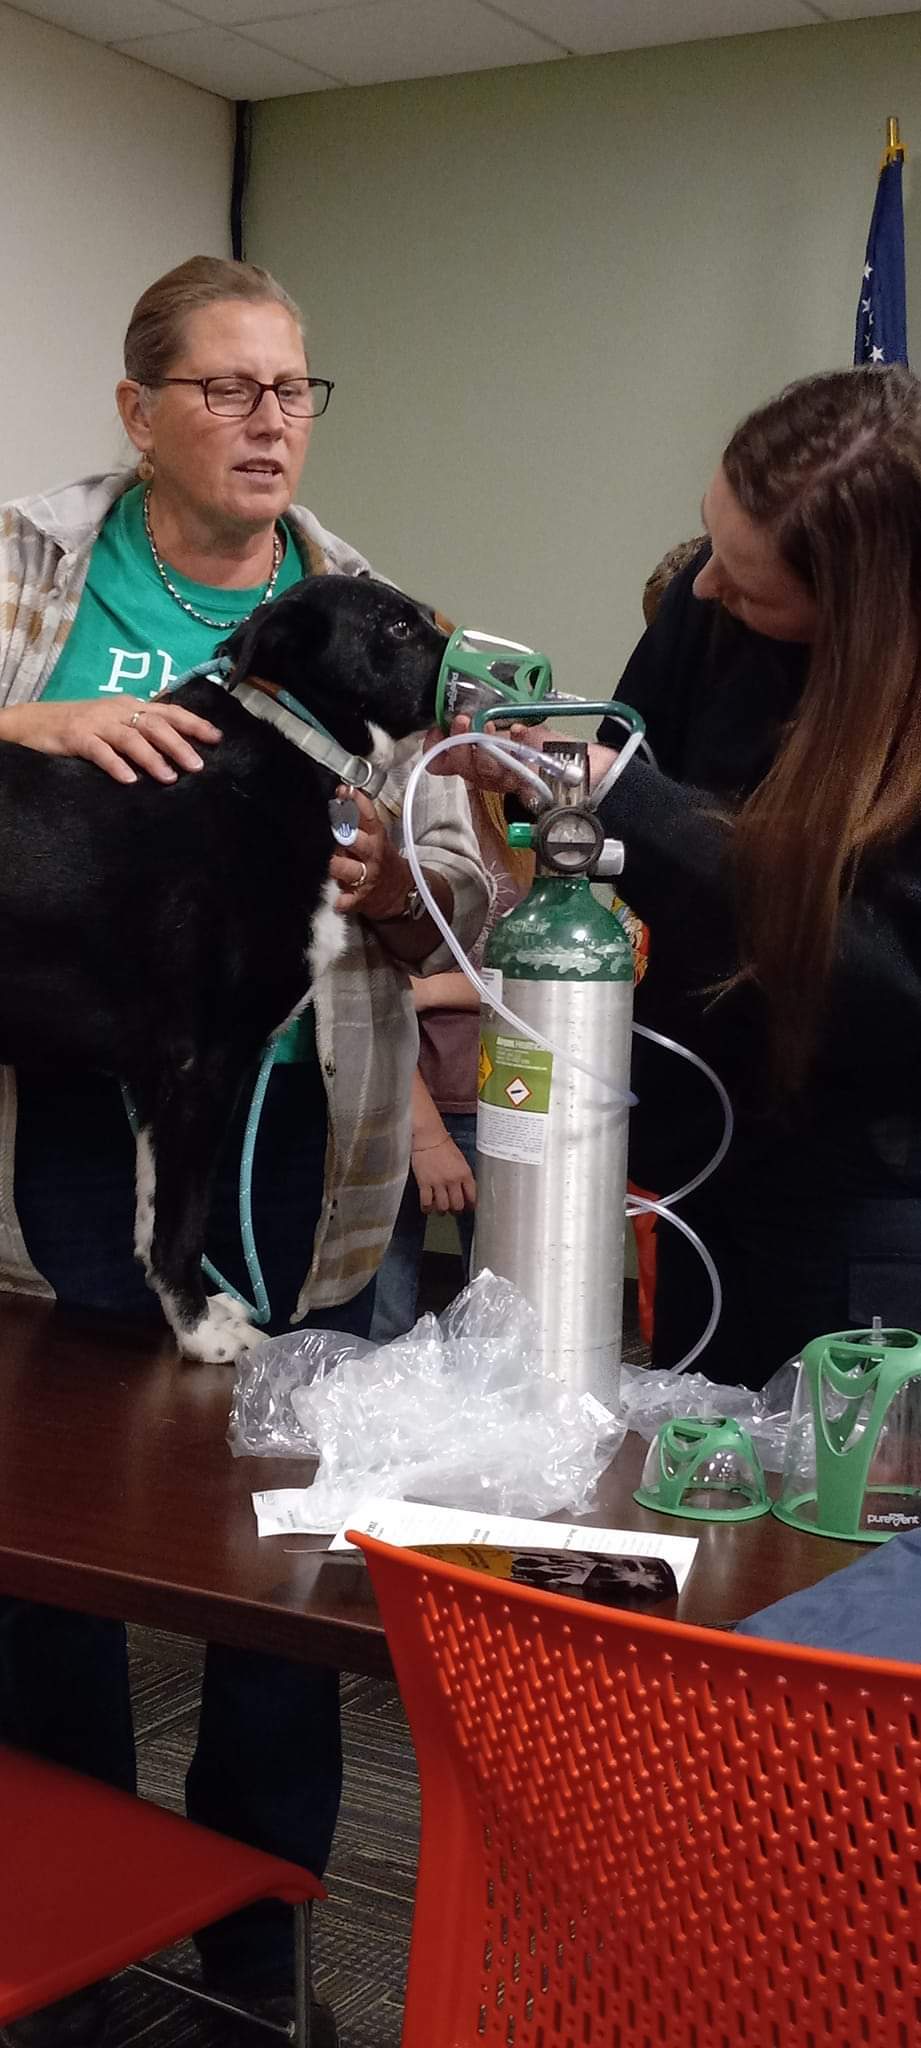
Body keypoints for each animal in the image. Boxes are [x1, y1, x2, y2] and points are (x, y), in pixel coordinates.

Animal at [0, 574, 447, 1361]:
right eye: (396, 627)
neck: (296, 739)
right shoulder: (203, 1063)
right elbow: (183, 1218)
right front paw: (202, 1331)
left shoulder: (155, 1078)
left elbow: (152, 1213)